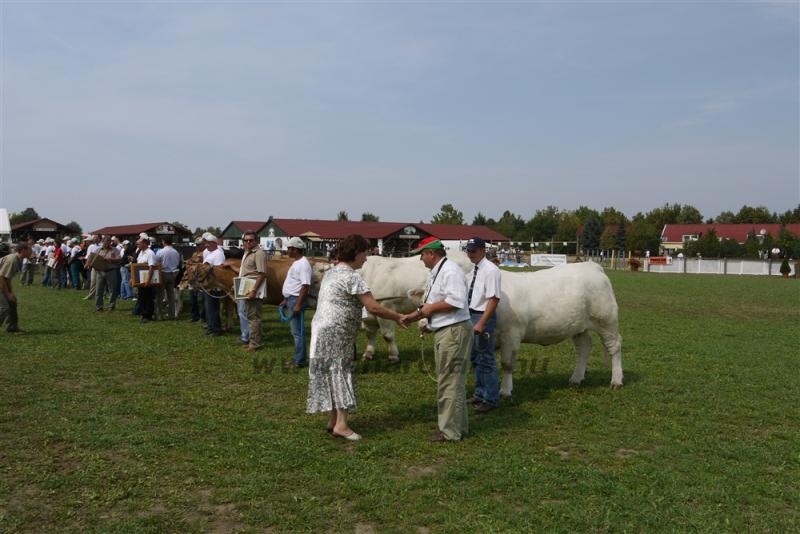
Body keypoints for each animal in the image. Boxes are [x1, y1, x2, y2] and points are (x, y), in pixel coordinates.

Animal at [494, 264, 624, 398]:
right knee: (584, 347)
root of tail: (591, 265)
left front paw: (505, 391)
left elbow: (507, 364)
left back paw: (616, 381)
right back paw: (576, 379)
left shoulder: (510, 333)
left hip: (606, 320)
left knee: (614, 346)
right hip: (579, 326)